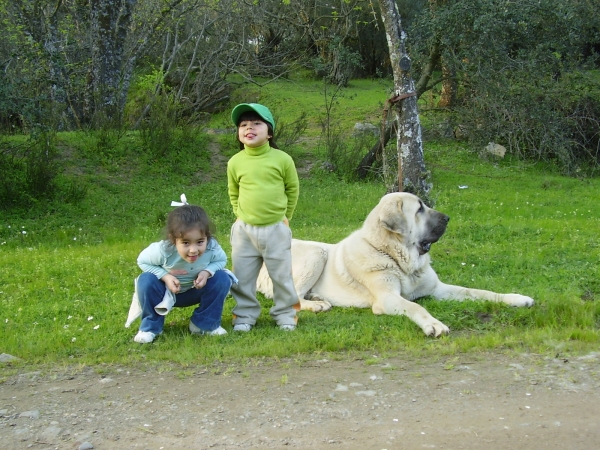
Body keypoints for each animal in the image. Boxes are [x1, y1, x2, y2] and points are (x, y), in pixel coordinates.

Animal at [256, 192, 536, 336]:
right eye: (420, 209)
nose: (448, 217)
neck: (400, 259)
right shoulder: (388, 298)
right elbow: (415, 307)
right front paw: (433, 324)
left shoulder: (439, 289)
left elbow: (479, 291)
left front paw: (516, 298)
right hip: (317, 252)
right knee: (291, 297)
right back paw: (317, 304)